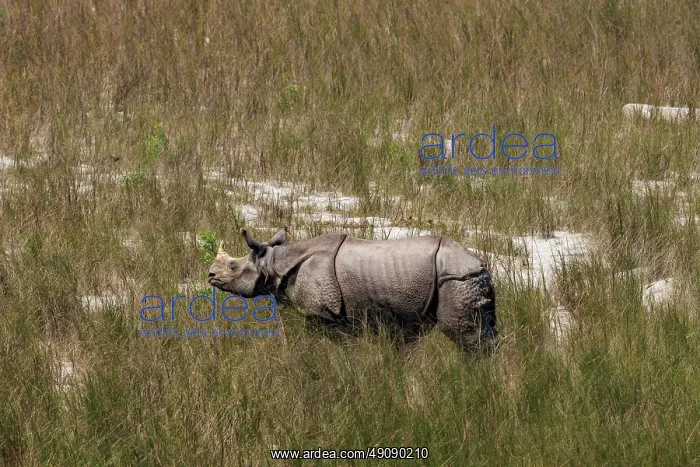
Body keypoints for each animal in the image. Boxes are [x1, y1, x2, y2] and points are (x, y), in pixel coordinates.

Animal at [207, 227, 498, 352]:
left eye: (233, 267)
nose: (210, 276)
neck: (274, 262)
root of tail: (479, 264)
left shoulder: (325, 314)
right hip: (468, 278)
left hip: (456, 278)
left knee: (464, 335)